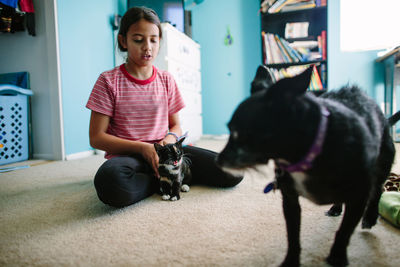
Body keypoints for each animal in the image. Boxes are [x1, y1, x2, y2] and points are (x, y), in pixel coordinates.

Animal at [217, 66, 400, 266]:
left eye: (238, 132)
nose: (218, 160)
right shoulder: (290, 201)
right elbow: (293, 236)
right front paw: (291, 261)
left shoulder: (359, 197)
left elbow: (344, 232)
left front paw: (337, 256)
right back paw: (336, 208)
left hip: (382, 165)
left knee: (378, 190)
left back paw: (370, 217)